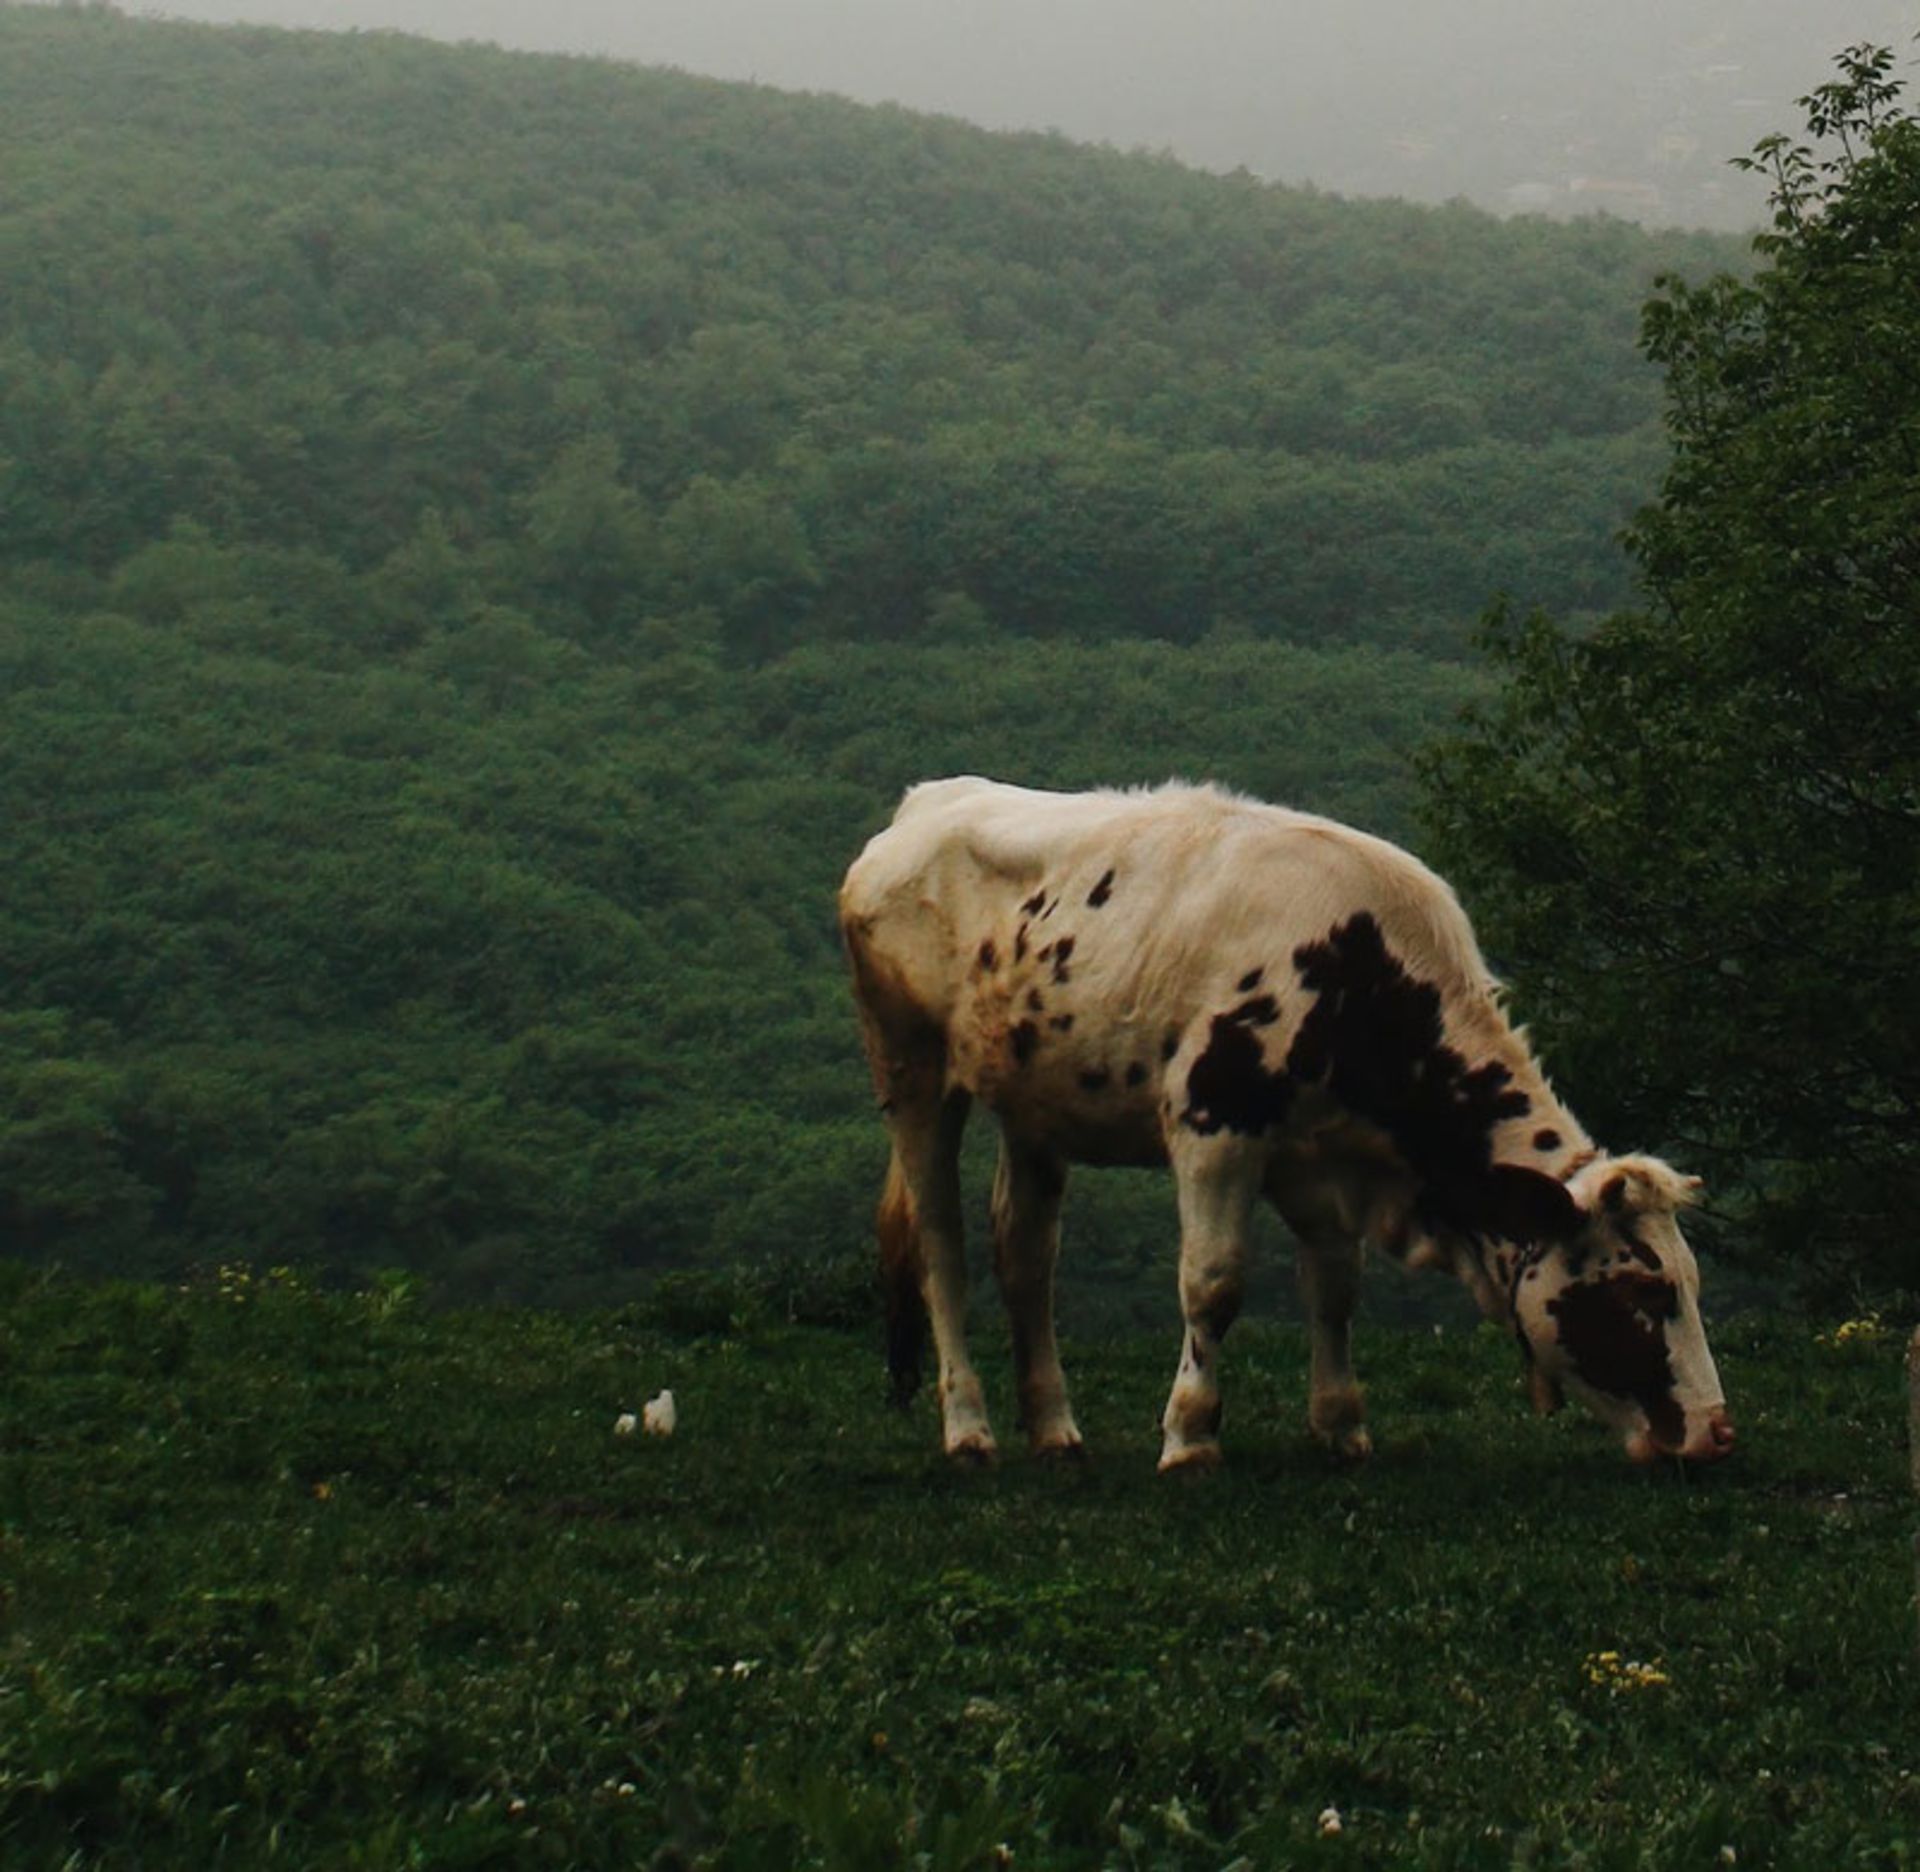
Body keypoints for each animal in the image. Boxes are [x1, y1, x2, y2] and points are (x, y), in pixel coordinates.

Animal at [839, 777, 1734, 1472]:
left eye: (1692, 1283)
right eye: (1645, 1290)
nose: (1715, 1434)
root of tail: (926, 802)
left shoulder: (1325, 1158)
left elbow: (1335, 1289)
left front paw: (1340, 1427)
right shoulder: (1215, 1127)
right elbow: (1214, 1282)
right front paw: (1191, 1435)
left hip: (1035, 1100)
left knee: (1026, 1255)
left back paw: (1055, 1430)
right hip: (909, 1069)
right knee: (942, 1248)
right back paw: (969, 1429)